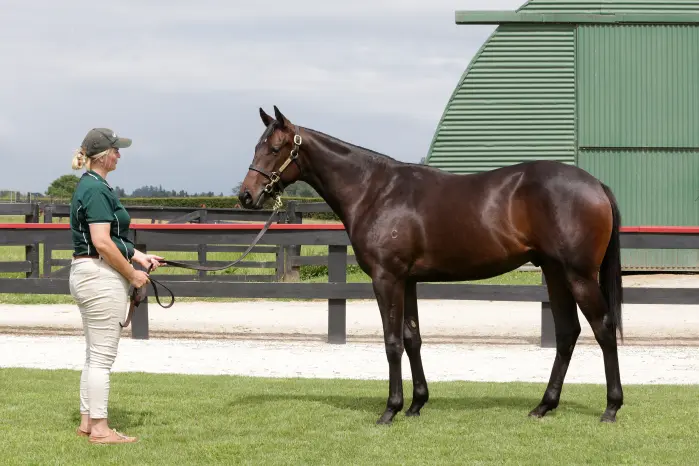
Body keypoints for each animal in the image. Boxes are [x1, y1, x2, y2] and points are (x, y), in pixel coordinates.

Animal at [238, 106, 624, 425]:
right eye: (256, 147)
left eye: (275, 148)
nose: (246, 195)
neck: (374, 190)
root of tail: (597, 185)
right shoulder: (407, 280)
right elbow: (413, 339)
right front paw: (416, 404)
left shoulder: (387, 278)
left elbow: (392, 341)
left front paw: (391, 409)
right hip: (555, 273)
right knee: (567, 333)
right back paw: (544, 405)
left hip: (579, 276)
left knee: (603, 329)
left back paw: (611, 407)